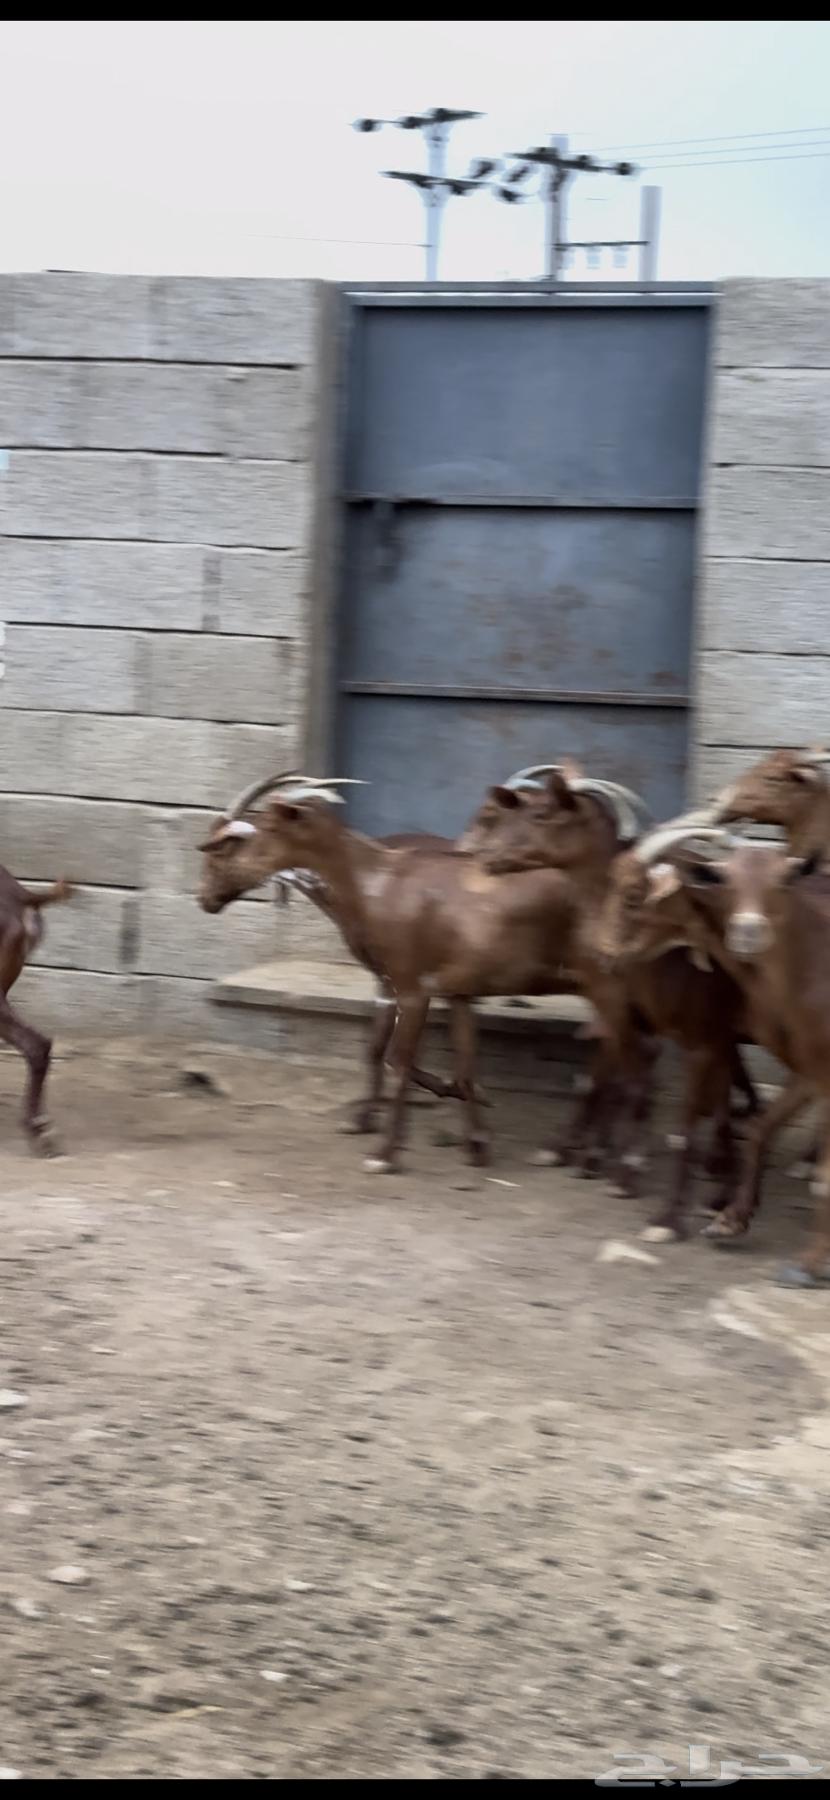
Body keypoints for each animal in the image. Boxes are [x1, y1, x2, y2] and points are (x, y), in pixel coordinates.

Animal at [198, 773, 580, 1173]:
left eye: (229, 844)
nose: (205, 898)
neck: (378, 881)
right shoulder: (438, 988)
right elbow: (448, 1058)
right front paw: (475, 1139)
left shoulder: (412, 986)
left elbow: (397, 1057)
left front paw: (385, 1151)